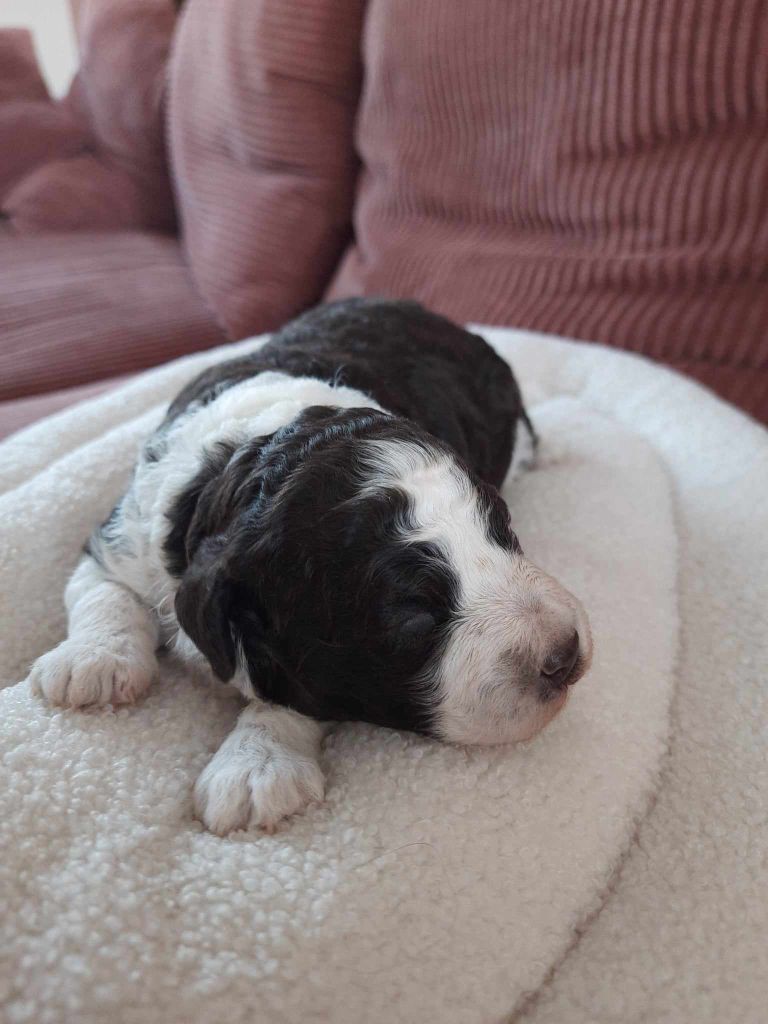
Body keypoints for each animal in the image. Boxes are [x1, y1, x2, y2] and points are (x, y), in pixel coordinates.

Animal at [28, 296, 593, 831]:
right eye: (413, 617)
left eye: (504, 527)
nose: (565, 657)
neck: (254, 451)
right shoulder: (124, 533)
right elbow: (103, 589)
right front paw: (92, 662)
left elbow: (293, 695)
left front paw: (255, 769)